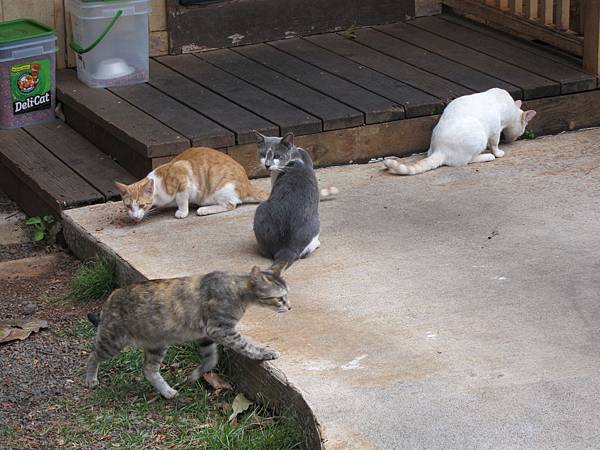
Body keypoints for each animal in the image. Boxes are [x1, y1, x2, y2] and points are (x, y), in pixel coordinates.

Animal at [85, 266, 290, 400]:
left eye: (287, 295)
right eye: (280, 298)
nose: (289, 307)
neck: (236, 288)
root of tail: (111, 296)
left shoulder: (206, 335)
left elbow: (211, 359)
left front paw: (196, 374)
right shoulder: (219, 329)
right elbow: (246, 346)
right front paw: (265, 352)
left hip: (157, 344)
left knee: (149, 370)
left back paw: (167, 391)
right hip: (113, 342)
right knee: (92, 355)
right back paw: (90, 379)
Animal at [115, 147, 270, 222]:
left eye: (142, 205)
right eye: (128, 206)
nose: (134, 217)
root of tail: (247, 183)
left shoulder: (183, 177)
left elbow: (182, 199)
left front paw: (182, 212)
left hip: (222, 188)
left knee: (231, 205)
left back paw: (204, 210)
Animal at [386, 87, 536, 175]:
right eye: (522, 131)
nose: (514, 139)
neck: (511, 109)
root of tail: (440, 150)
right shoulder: (495, 130)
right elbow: (495, 143)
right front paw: (497, 152)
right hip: (479, 135)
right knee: (467, 161)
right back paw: (487, 156)